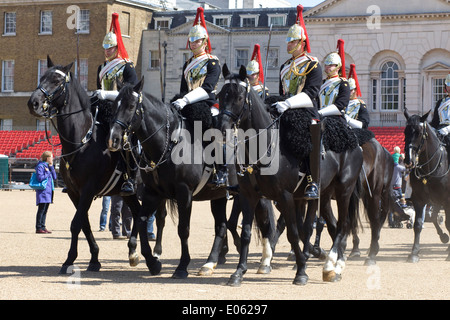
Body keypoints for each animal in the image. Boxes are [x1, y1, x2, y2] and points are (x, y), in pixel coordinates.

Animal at [25, 56, 160, 274]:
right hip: (127, 192)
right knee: (138, 213)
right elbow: (84, 224)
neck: (82, 140)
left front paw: (69, 260)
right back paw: (136, 253)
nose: (33, 103)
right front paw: (94, 259)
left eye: (57, 81)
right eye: (42, 77)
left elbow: (76, 223)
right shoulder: (75, 192)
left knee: (145, 215)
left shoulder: (88, 189)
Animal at [108, 79, 278, 278]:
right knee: (221, 226)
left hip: (255, 194)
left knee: (264, 222)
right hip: (219, 196)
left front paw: (182, 266)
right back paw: (210, 263)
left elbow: (183, 229)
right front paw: (151, 262)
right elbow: (142, 221)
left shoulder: (184, 193)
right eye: (114, 105)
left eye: (131, 106)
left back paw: (265, 261)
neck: (170, 143)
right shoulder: (153, 193)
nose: (113, 139)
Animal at [217, 65, 362, 284]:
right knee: (329, 225)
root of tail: (351, 137)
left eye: (240, 97)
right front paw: (239, 272)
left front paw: (301, 271)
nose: (223, 128)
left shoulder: (285, 196)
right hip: (324, 193)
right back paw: (331, 260)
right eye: (220, 95)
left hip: (344, 190)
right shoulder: (248, 196)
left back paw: (332, 265)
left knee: (342, 225)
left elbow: (293, 233)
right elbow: (247, 232)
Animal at [404, 110, 450, 262]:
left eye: (419, 133)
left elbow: (447, 223)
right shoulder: (420, 200)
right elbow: (418, 224)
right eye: (405, 131)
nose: (408, 160)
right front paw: (414, 253)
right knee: (434, 216)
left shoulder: (447, 201)